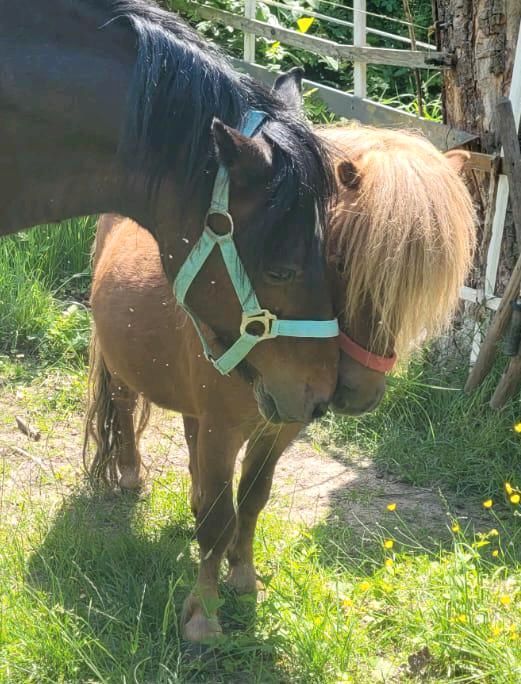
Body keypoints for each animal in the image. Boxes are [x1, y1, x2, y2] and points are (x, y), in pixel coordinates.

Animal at [83, 125, 474, 644]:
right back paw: (129, 473)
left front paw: (244, 577)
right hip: (120, 364)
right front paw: (204, 613)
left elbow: (251, 500)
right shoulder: (223, 430)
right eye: (341, 260)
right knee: (125, 407)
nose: (362, 392)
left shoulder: (281, 428)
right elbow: (217, 520)